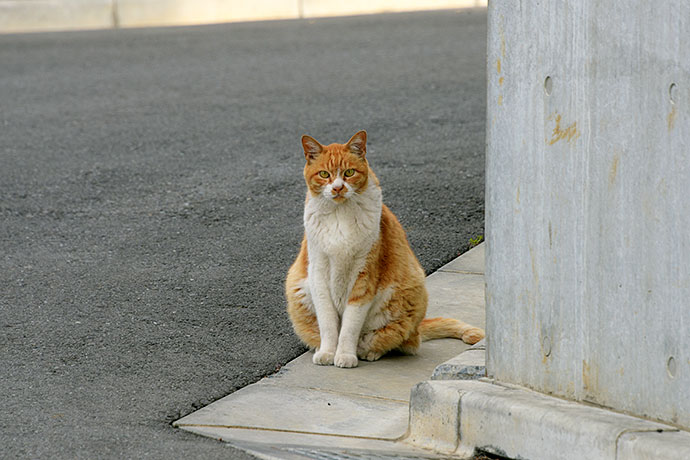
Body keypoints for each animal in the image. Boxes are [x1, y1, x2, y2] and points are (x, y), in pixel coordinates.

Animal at [282, 131, 482, 368]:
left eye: (349, 173)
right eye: (324, 174)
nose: (338, 188)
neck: (339, 216)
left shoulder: (364, 276)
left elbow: (349, 325)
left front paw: (345, 355)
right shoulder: (318, 271)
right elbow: (328, 322)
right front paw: (328, 352)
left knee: (398, 342)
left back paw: (368, 352)